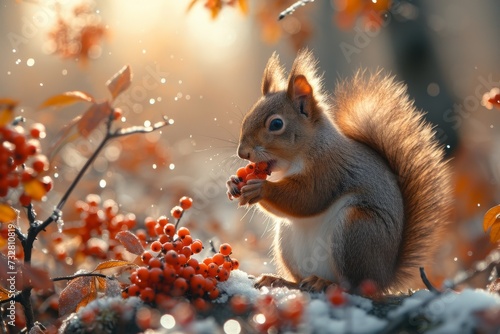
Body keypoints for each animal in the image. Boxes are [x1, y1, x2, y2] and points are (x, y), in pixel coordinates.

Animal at [228, 49, 454, 292]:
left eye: (276, 124)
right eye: (247, 117)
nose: (243, 152)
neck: (303, 153)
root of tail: (384, 277)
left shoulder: (329, 170)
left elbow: (307, 198)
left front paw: (261, 189)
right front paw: (233, 183)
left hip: (356, 230)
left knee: (353, 285)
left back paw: (325, 282)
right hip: (287, 241)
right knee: (299, 278)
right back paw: (280, 280)